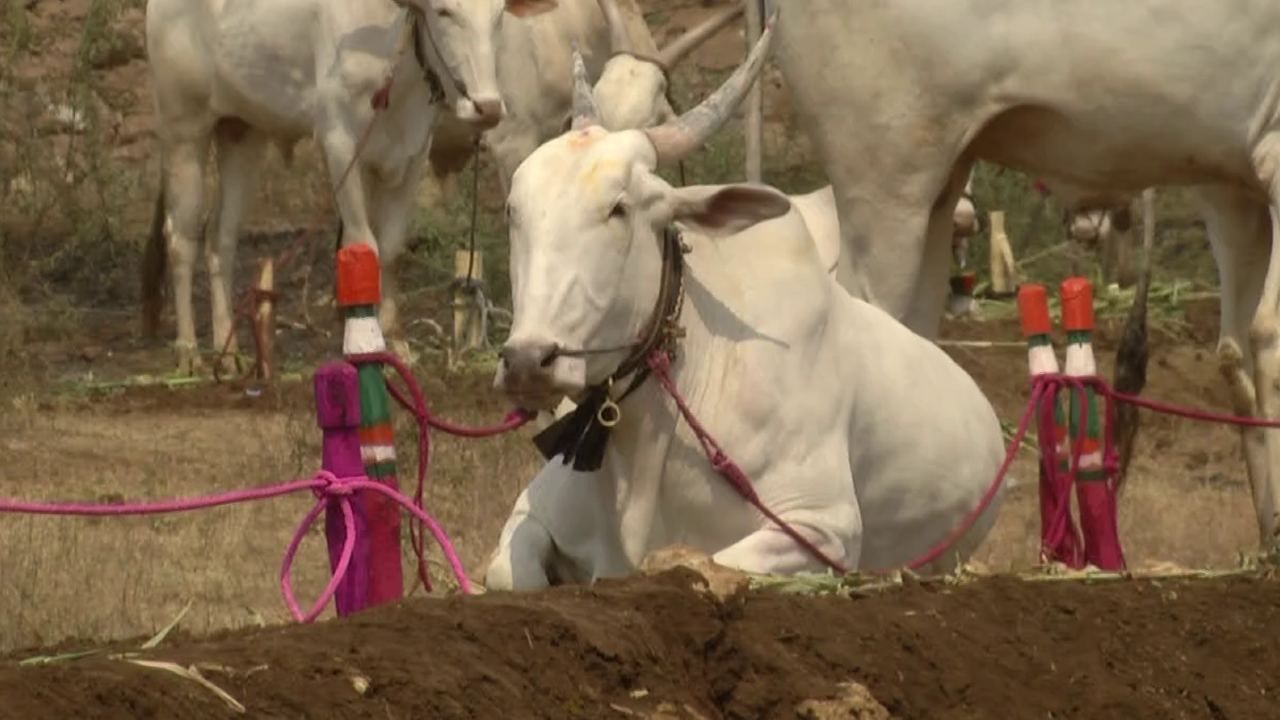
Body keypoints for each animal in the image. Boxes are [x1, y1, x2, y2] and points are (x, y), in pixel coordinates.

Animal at [140, 0, 560, 371]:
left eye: (499, 14)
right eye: (444, 12)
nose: (487, 107)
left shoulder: (413, 153)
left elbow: (390, 249)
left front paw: (398, 341)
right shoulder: (340, 145)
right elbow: (364, 245)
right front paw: (369, 337)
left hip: (242, 133)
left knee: (221, 238)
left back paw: (227, 351)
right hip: (183, 128)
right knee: (181, 238)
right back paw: (188, 350)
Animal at [481, 28, 1008, 589]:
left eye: (618, 208)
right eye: (513, 209)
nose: (527, 361)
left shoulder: (821, 528)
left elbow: (704, 563)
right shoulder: (531, 512)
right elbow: (511, 574)